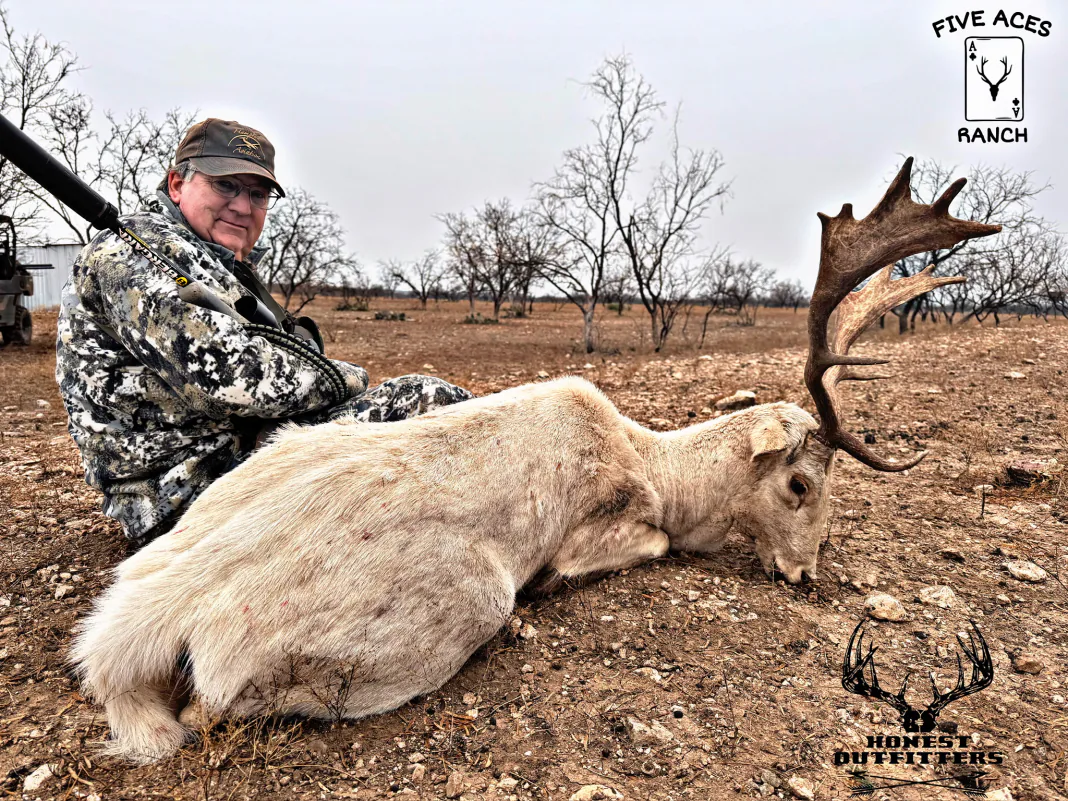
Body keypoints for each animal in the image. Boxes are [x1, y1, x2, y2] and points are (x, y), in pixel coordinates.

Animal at [70, 157, 1000, 764]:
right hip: (457, 604)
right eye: (801, 482)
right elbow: (641, 546)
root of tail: (137, 625)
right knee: (210, 706)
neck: (657, 464)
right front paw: (558, 580)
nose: (806, 575)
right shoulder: (610, 526)